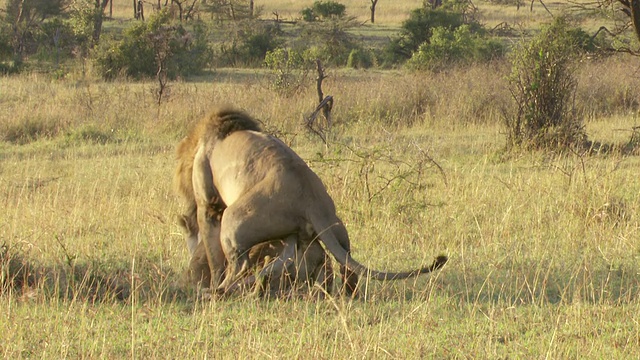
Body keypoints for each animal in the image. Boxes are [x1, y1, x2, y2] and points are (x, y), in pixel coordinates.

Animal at [175, 105, 444, 296]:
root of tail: (311, 200)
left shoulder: (208, 204)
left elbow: (212, 252)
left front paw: (212, 278)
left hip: (236, 219)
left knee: (240, 266)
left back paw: (219, 291)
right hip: (325, 227)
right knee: (339, 259)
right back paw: (347, 294)